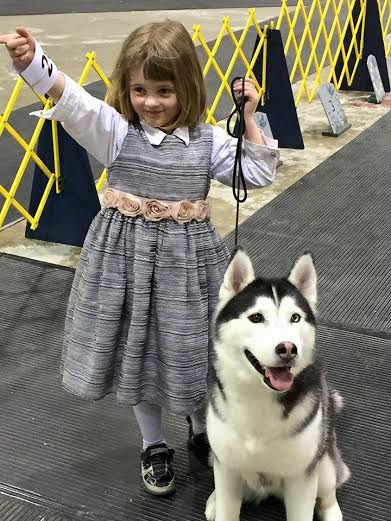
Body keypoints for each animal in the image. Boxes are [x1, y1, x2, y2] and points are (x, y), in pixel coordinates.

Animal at [207, 248, 350, 520]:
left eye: (295, 317)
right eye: (256, 317)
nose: (288, 349)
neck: (259, 397)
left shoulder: (301, 479)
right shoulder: (227, 468)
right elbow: (227, 508)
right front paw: (219, 504)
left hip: (324, 465)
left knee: (331, 488)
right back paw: (214, 500)